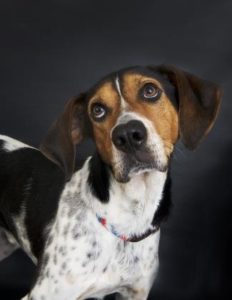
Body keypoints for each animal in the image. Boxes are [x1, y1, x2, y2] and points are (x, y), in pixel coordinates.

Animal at [0, 64, 221, 298]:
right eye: (97, 110)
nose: (127, 135)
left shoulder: (135, 293)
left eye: (150, 91)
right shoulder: (44, 294)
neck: (129, 217)